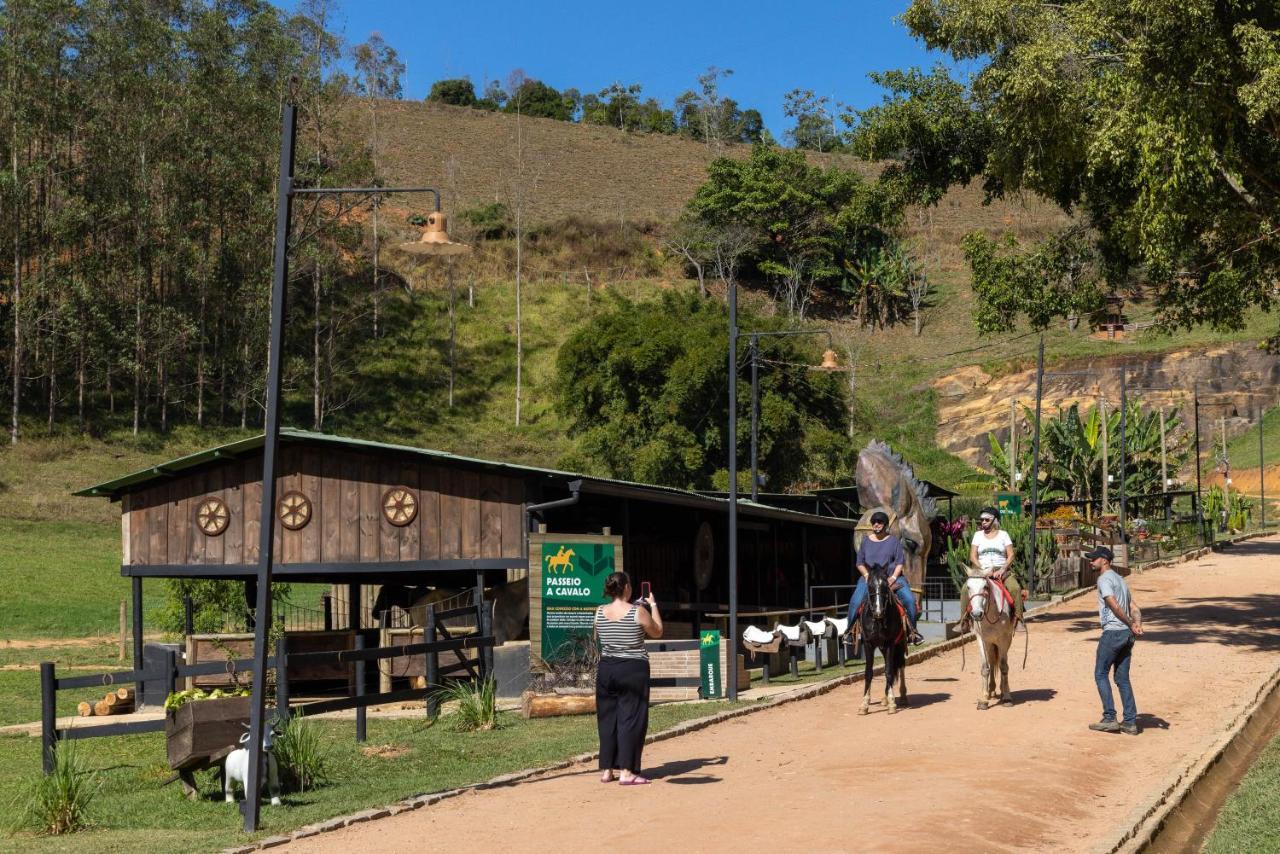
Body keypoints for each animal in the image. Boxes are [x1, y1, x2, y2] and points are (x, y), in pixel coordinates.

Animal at [855, 568, 906, 717]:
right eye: (870, 586)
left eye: (885, 586)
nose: (878, 611)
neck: (877, 620)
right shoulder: (868, 644)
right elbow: (868, 672)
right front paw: (864, 704)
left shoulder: (890, 643)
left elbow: (889, 671)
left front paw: (892, 703)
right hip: (883, 648)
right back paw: (885, 698)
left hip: (899, 644)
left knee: (900, 665)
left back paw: (902, 696)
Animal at [962, 571, 1013, 711]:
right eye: (968, 587)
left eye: (985, 587)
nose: (976, 614)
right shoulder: (981, 639)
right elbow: (985, 667)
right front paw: (984, 699)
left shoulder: (1003, 640)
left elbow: (1003, 666)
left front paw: (1007, 697)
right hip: (990, 644)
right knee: (991, 662)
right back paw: (991, 690)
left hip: (1005, 642)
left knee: (1001, 663)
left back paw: (1002, 690)